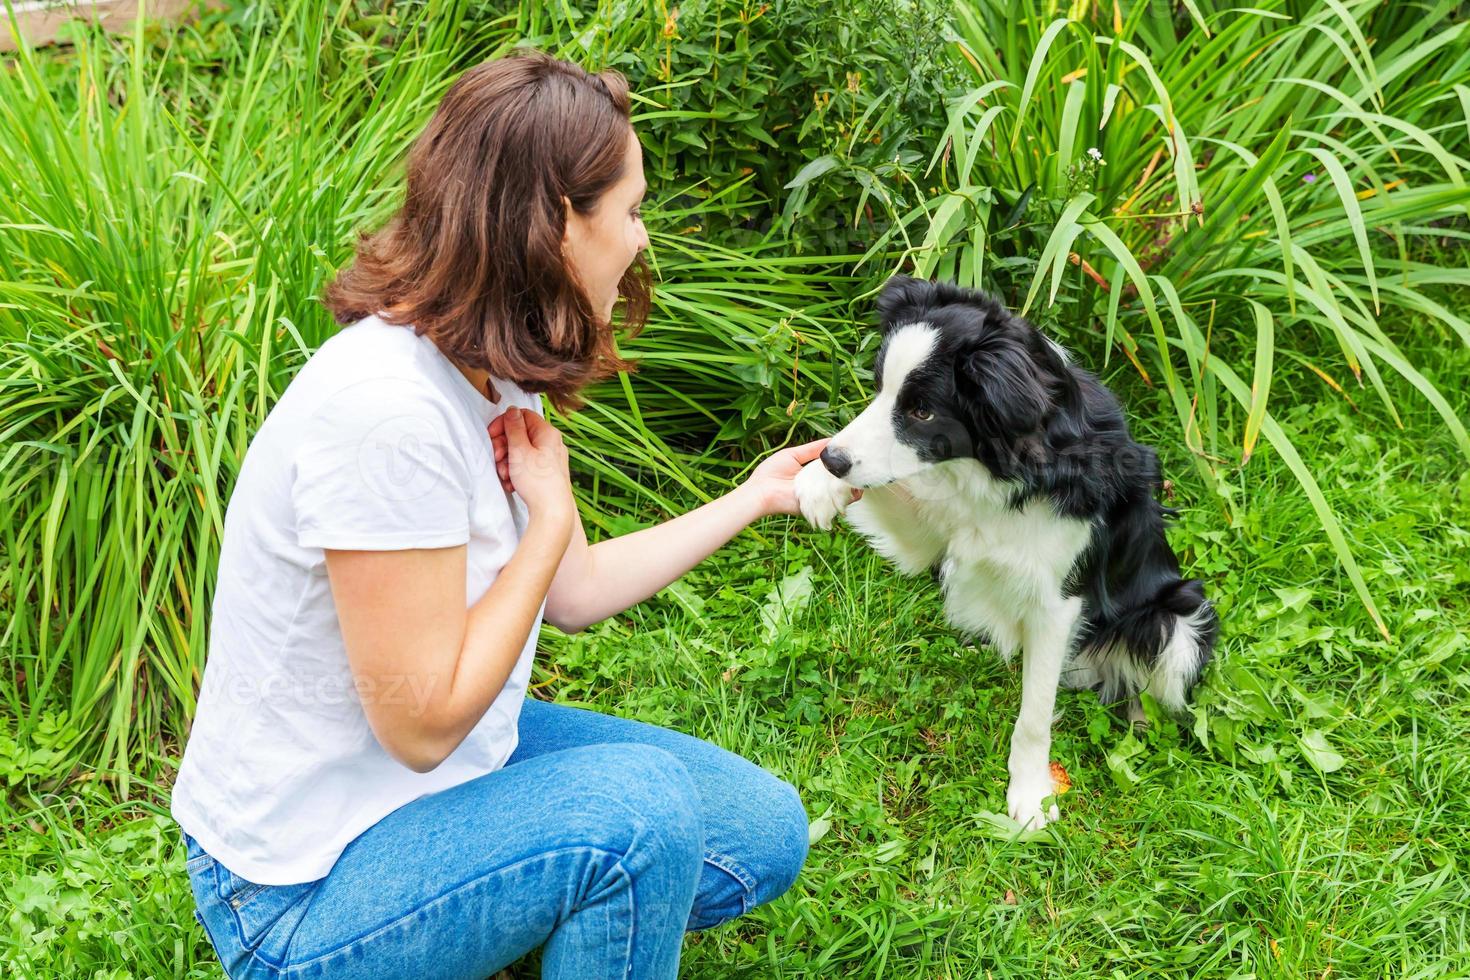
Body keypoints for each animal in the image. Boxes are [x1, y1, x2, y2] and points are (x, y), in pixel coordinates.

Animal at [793, 274, 1217, 828]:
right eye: (880, 387)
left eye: (922, 410)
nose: (832, 458)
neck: (1002, 468)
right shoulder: (927, 535)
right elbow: (893, 486)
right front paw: (816, 483)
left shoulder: (1059, 603)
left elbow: (1035, 712)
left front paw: (1031, 795)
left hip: (1180, 619)